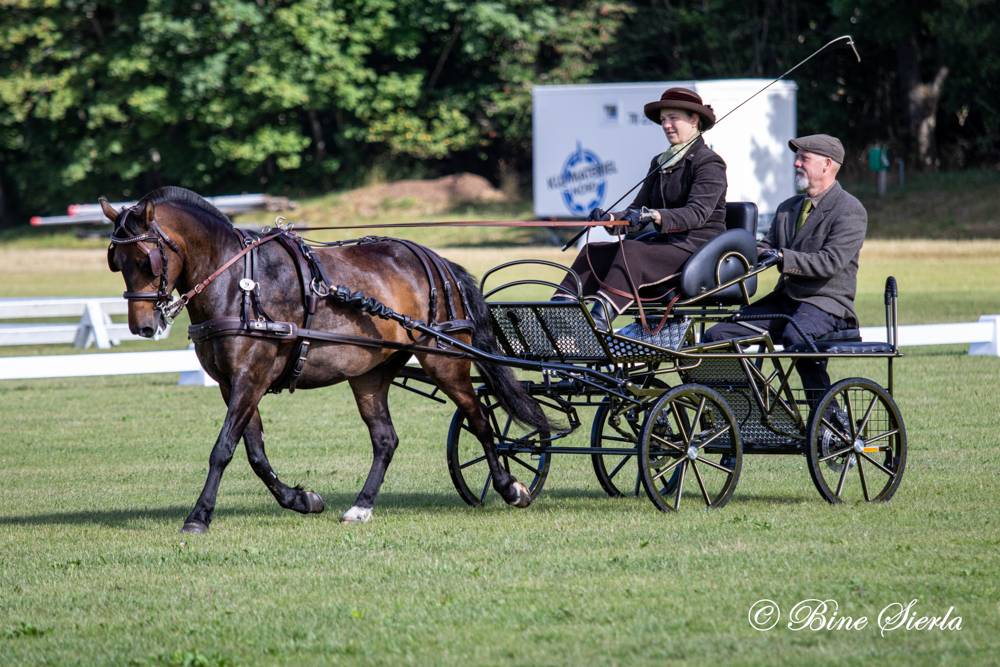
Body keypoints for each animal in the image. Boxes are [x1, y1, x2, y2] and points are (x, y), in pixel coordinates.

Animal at [101, 187, 548, 532]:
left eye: (146, 260)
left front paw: (199, 516)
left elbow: (223, 448)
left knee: (479, 417)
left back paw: (510, 487)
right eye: (116, 263)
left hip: (445, 361)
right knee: (385, 439)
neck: (239, 284)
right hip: (370, 373)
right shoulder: (233, 384)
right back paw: (361, 506)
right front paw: (301, 499)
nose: (143, 327)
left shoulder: (251, 377)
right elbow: (255, 452)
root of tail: (436, 261)